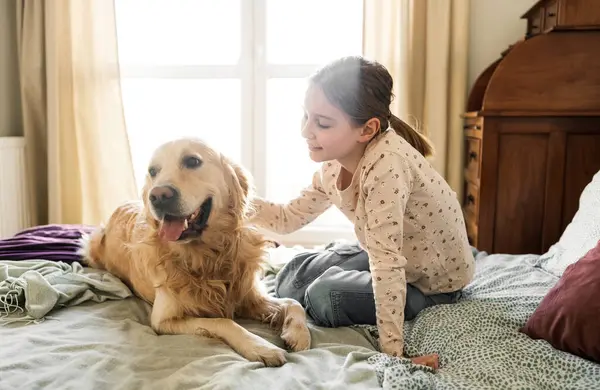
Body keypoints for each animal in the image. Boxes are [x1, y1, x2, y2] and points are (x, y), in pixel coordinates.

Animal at [81, 137, 310, 366]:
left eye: (192, 161)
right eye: (153, 171)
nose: (158, 196)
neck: (207, 256)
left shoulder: (249, 296)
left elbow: (294, 303)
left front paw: (298, 333)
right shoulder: (163, 320)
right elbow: (223, 321)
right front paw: (260, 346)